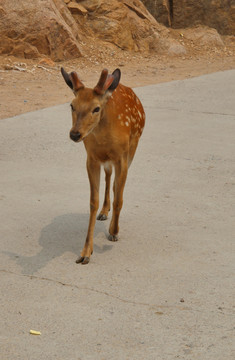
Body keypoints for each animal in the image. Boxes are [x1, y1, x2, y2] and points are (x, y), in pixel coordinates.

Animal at [60, 67, 145, 264]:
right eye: (72, 105)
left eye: (96, 108)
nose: (75, 134)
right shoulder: (91, 159)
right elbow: (93, 201)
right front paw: (85, 252)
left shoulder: (122, 157)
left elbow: (119, 197)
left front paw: (114, 232)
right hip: (106, 160)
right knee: (108, 177)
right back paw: (104, 211)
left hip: (133, 147)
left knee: (115, 186)